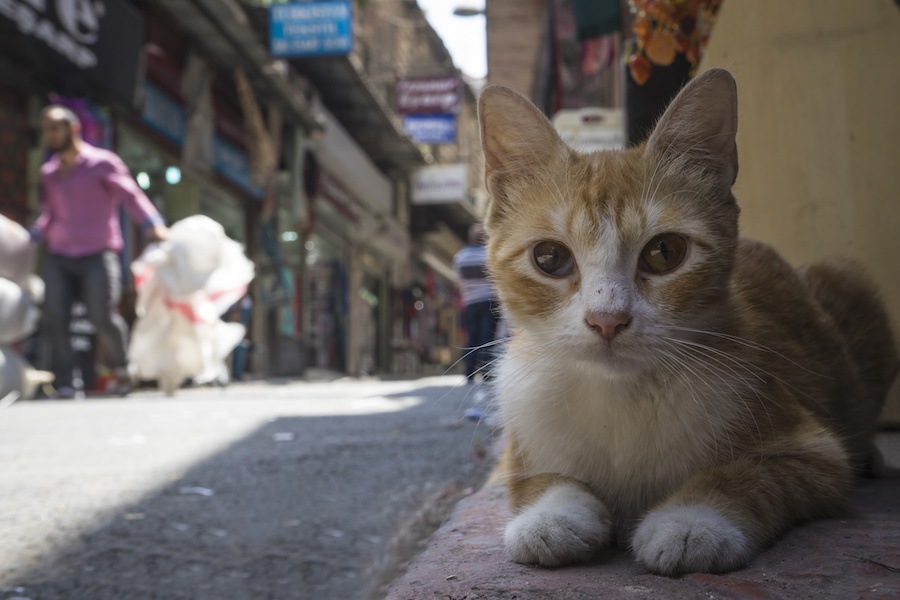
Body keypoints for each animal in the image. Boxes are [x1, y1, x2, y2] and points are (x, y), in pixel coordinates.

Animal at [474, 68, 896, 576]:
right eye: (550, 258)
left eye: (664, 252)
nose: (607, 320)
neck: (622, 398)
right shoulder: (521, 441)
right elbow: (534, 479)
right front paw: (551, 516)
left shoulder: (815, 451)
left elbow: (755, 474)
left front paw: (692, 522)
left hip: (850, 284)